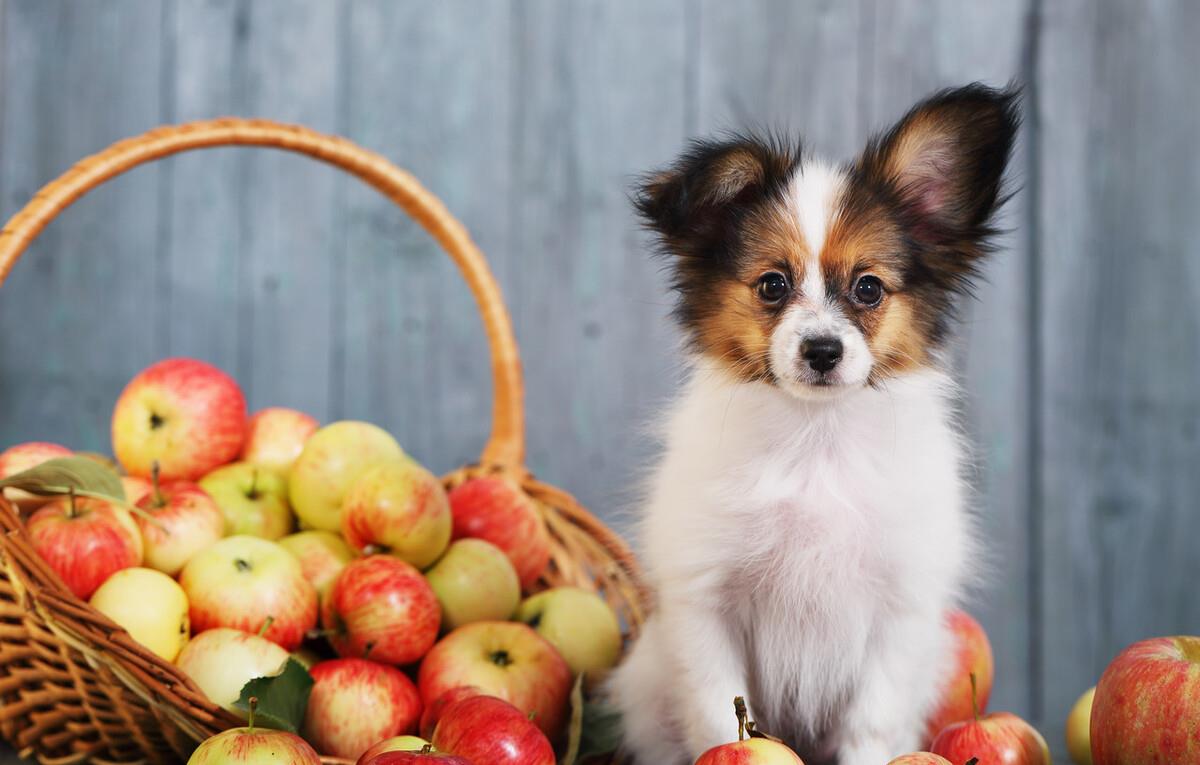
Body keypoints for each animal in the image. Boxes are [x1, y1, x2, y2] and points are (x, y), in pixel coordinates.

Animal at [604, 83, 1017, 765]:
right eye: (773, 284)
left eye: (869, 288)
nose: (823, 350)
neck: (814, 441)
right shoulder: (705, 602)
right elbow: (719, 715)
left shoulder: (898, 609)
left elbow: (870, 728)